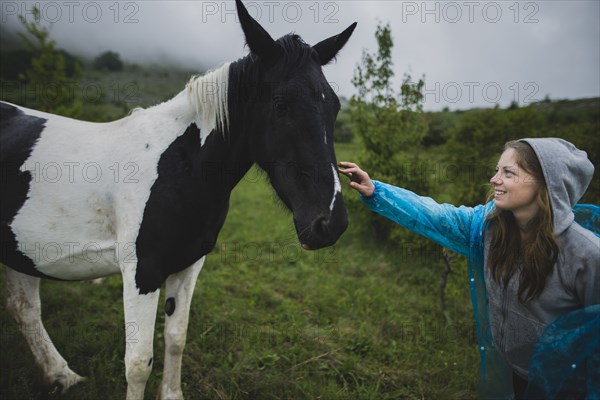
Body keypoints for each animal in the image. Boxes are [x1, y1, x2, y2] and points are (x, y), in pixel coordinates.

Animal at [0, 1, 356, 398]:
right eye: (281, 104)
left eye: (335, 106)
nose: (331, 223)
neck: (179, 165)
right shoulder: (142, 271)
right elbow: (138, 362)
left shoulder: (188, 265)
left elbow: (175, 338)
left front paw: (172, 392)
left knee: (23, 308)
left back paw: (60, 375)